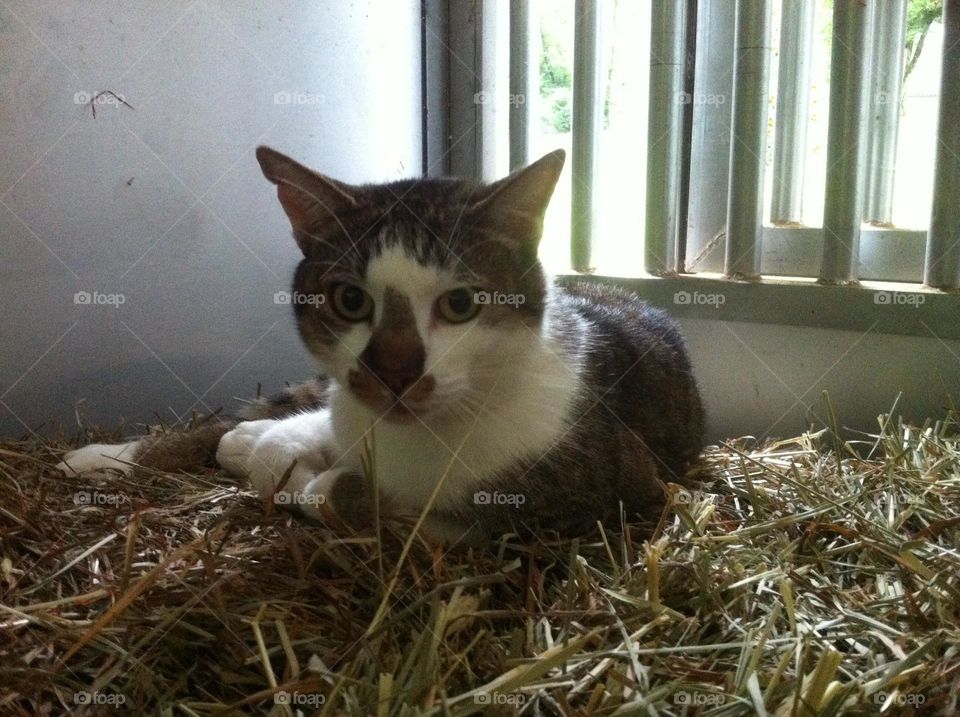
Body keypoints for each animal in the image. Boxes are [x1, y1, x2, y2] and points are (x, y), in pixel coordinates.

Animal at [60, 147, 704, 544]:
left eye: (461, 304)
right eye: (350, 300)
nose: (393, 370)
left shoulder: (622, 489)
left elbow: (368, 502)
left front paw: (318, 484)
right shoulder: (345, 405)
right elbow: (285, 444)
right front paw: (266, 452)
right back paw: (106, 455)